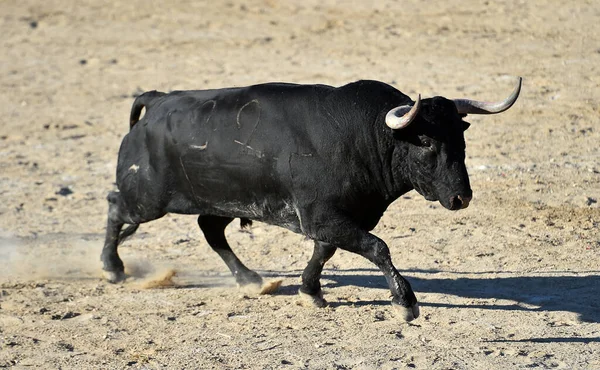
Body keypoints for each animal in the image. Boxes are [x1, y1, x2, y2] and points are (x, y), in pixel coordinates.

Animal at [103, 78, 520, 320]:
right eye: (427, 141)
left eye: (461, 139)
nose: (461, 198)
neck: (365, 134)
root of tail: (157, 101)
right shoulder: (323, 216)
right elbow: (378, 247)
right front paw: (405, 302)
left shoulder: (335, 218)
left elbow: (325, 251)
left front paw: (310, 292)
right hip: (148, 199)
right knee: (115, 206)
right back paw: (112, 268)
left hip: (219, 199)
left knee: (211, 229)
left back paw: (250, 280)